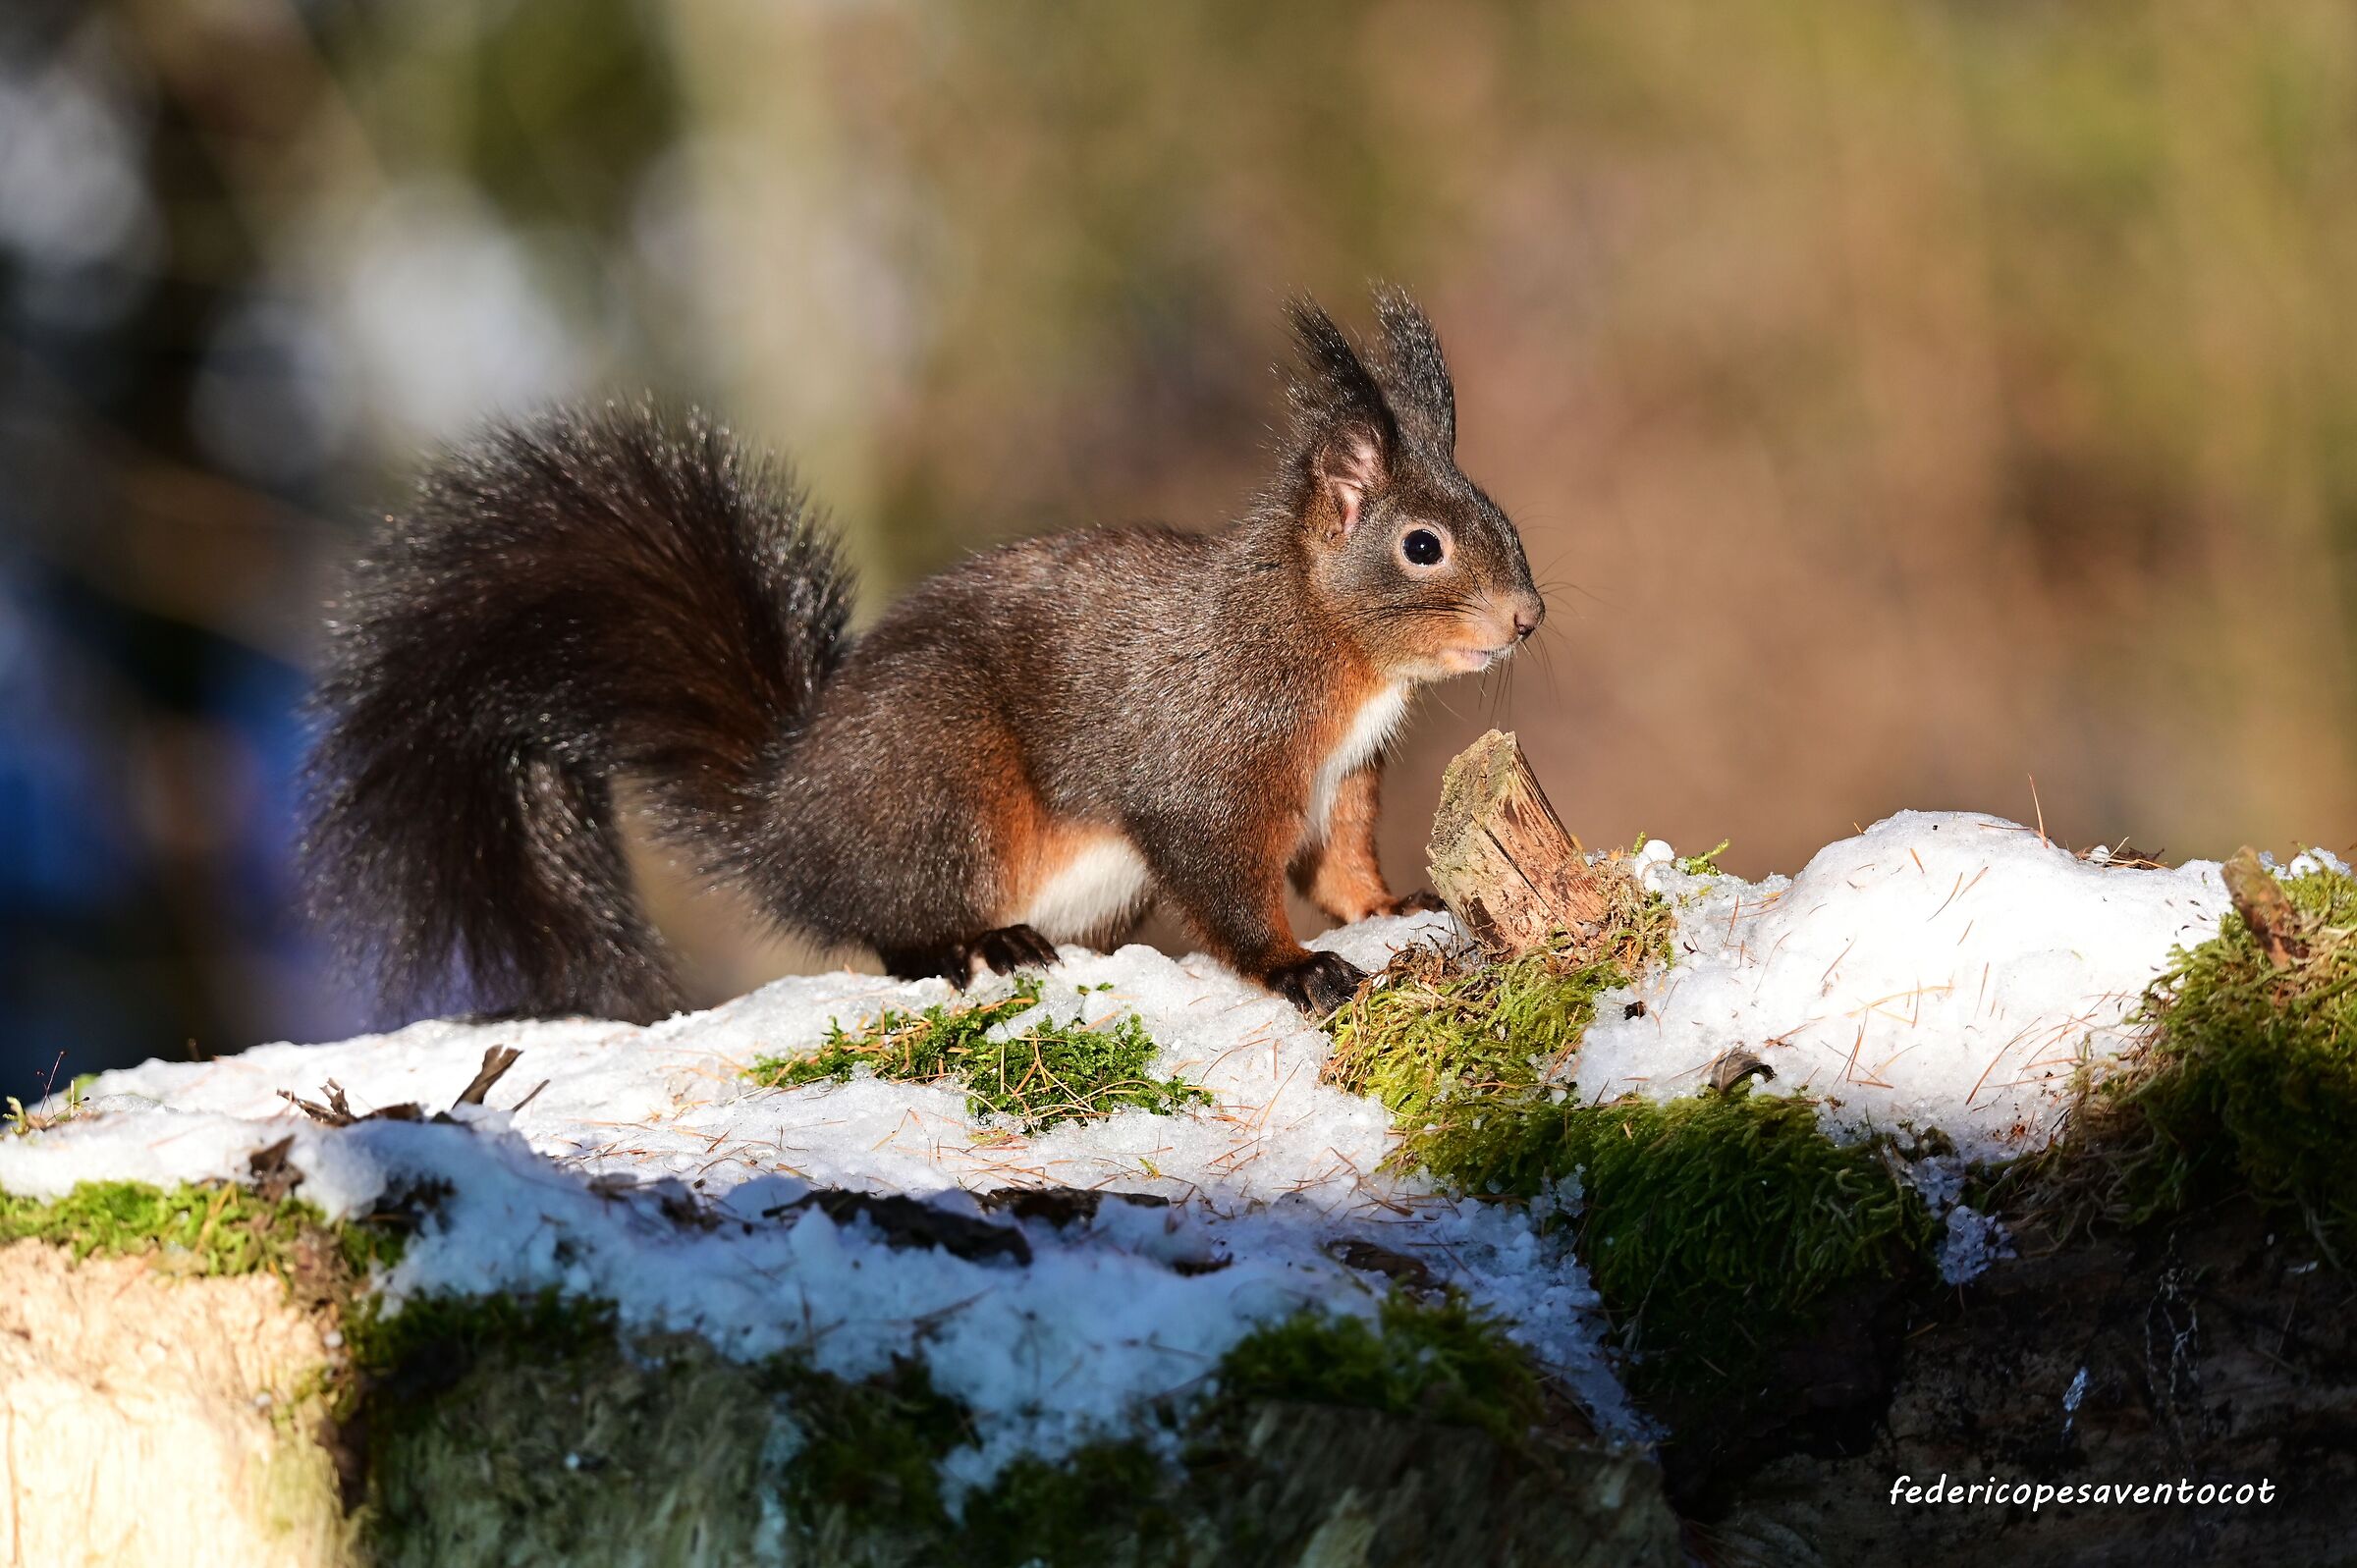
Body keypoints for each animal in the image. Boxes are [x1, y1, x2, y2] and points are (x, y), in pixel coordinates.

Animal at [301, 288, 1544, 1024]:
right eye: (1423, 546)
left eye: (1499, 511)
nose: (1528, 617)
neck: (1327, 648)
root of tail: (783, 814)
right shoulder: (1213, 765)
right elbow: (1228, 884)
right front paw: (1295, 969)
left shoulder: (1342, 780)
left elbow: (1337, 865)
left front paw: (1389, 905)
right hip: (946, 783)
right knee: (891, 933)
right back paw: (977, 944)